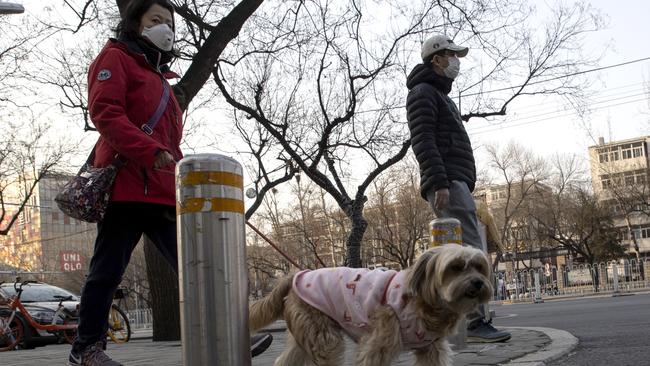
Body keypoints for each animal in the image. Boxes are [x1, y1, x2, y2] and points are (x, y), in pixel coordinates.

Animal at [248, 243, 492, 366]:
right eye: (456, 267)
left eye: (479, 267)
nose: (478, 283)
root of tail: (297, 275)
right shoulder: (377, 345)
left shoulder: (431, 349)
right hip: (324, 338)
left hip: (306, 336)